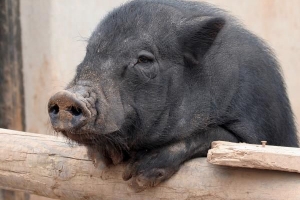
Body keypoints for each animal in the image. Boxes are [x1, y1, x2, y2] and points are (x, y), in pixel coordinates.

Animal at [47, 0, 298, 191]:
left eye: (144, 60)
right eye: (88, 53)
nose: (65, 97)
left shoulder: (259, 131)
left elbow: (215, 136)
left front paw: (138, 178)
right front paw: (106, 160)